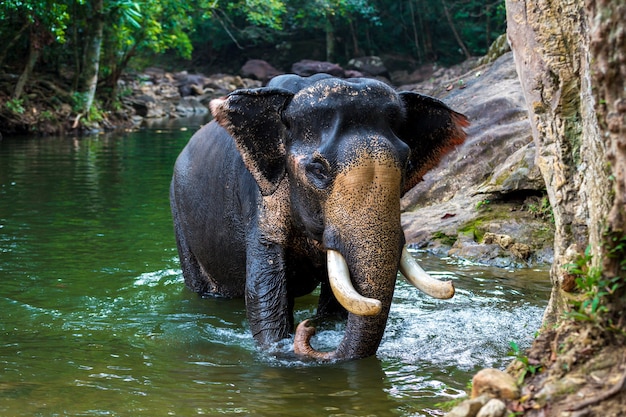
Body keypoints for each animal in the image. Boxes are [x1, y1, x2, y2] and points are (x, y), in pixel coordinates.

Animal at [168, 73, 466, 360]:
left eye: (407, 163)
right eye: (318, 170)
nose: (308, 329)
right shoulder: (259, 199)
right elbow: (262, 292)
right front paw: (281, 343)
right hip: (178, 213)